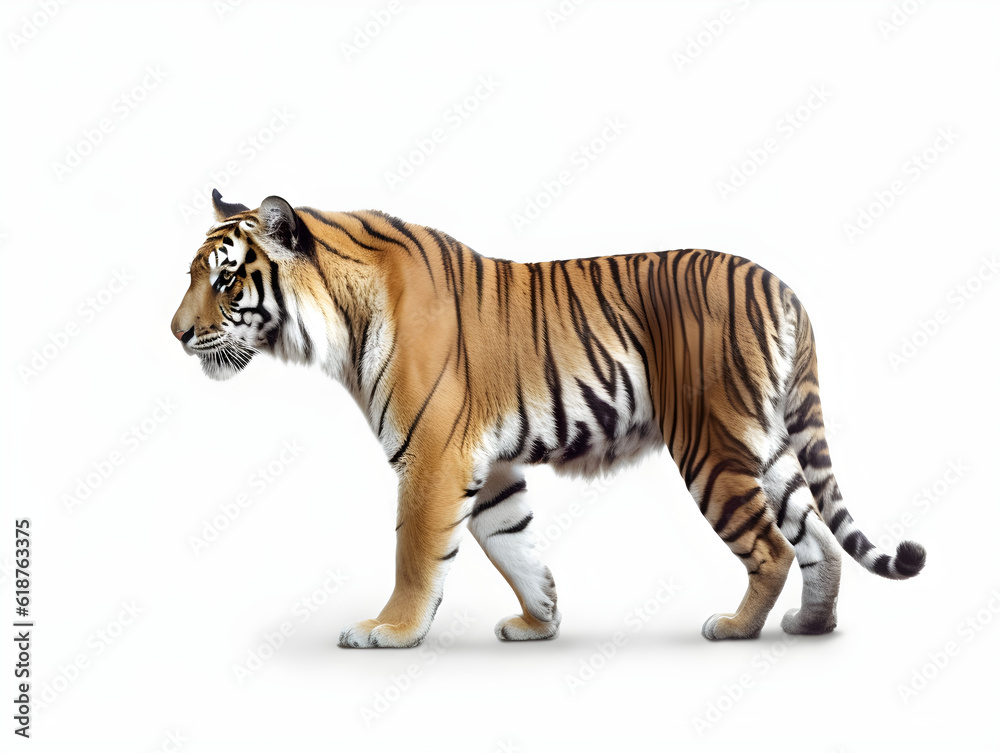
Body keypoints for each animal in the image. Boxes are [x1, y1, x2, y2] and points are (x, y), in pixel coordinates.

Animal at [171, 190, 926, 647]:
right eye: (191, 274)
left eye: (226, 280)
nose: (175, 333)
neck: (340, 320)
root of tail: (779, 283)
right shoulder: (488, 464)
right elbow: (515, 546)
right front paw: (541, 622)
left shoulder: (432, 456)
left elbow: (415, 554)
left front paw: (390, 630)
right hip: (764, 442)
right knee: (819, 538)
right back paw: (811, 624)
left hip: (711, 444)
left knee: (771, 546)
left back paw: (737, 626)